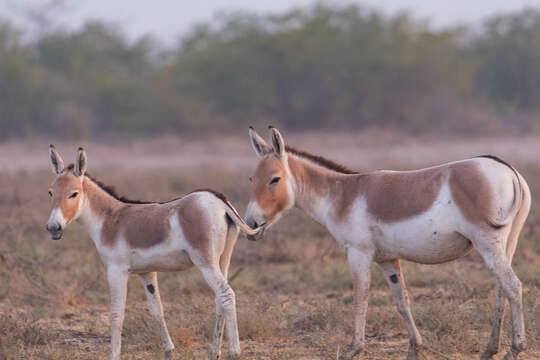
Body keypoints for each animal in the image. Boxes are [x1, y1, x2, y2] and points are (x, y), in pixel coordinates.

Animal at [46, 145, 262, 358]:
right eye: (50, 193)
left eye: (73, 194)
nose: (53, 228)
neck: (109, 220)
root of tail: (218, 199)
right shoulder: (147, 272)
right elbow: (156, 309)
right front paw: (169, 350)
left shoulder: (116, 270)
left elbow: (116, 314)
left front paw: (114, 355)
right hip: (223, 259)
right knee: (219, 299)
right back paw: (214, 352)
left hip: (205, 262)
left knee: (226, 295)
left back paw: (234, 352)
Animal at [246, 127, 532, 360]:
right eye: (252, 179)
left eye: (274, 179)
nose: (250, 224)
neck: (342, 196)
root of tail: (510, 171)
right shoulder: (387, 259)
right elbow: (401, 301)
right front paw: (415, 348)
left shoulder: (358, 254)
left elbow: (361, 297)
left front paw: (353, 349)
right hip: (506, 242)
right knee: (501, 289)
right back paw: (490, 349)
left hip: (487, 242)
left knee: (513, 285)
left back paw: (515, 348)